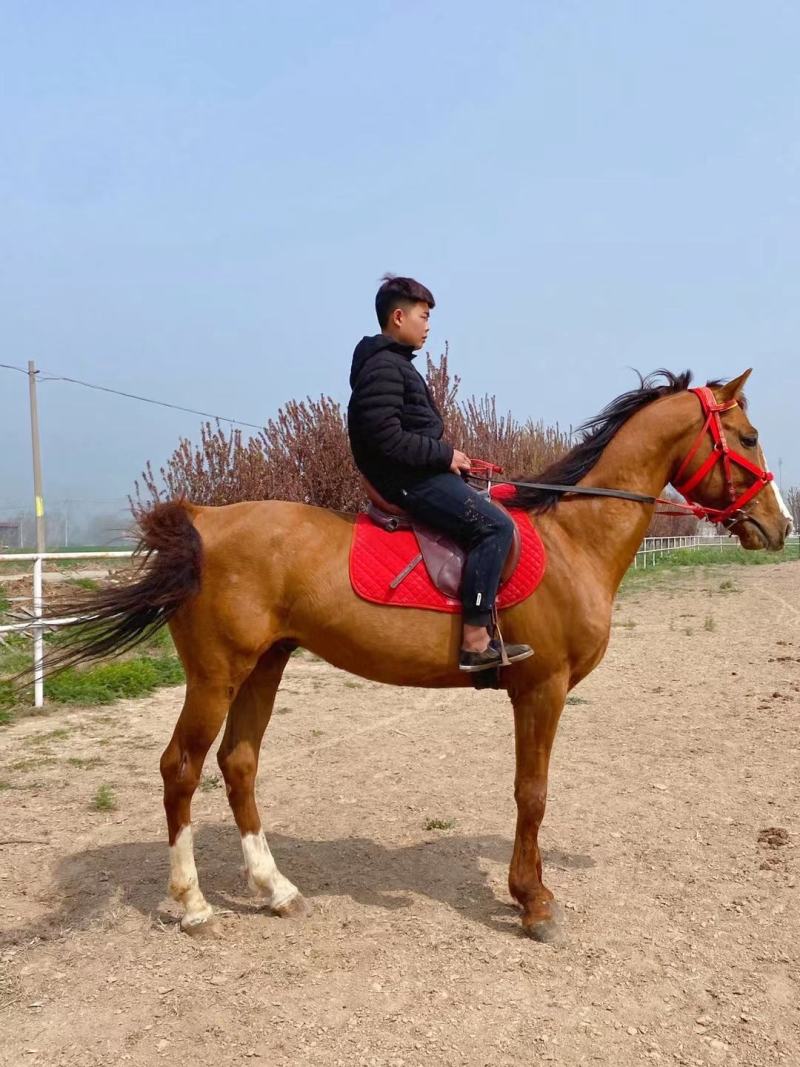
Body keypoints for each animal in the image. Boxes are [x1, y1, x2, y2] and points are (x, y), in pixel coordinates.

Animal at [49, 369, 792, 941]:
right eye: (749, 438)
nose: (780, 526)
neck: (572, 538)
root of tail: (205, 520)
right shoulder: (542, 687)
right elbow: (532, 793)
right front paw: (533, 902)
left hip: (265, 665)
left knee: (239, 764)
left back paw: (277, 889)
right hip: (215, 675)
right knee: (181, 767)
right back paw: (196, 905)